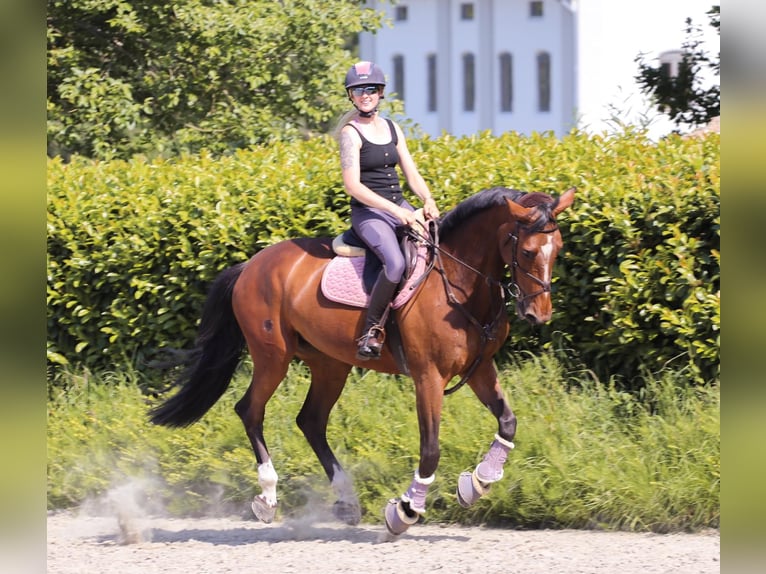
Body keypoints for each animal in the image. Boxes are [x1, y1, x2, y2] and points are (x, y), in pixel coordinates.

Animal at [150, 187, 576, 536]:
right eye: (527, 252)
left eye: (558, 249)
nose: (539, 314)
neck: (459, 280)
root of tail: (251, 265)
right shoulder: (428, 377)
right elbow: (431, 448)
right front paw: (405, 511)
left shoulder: (480, 370)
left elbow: (508, 422)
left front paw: (478, 482)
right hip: (273, 356)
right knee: (251, 411)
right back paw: (268, 498)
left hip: (329, 364)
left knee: (311, 421)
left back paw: (344, 501)